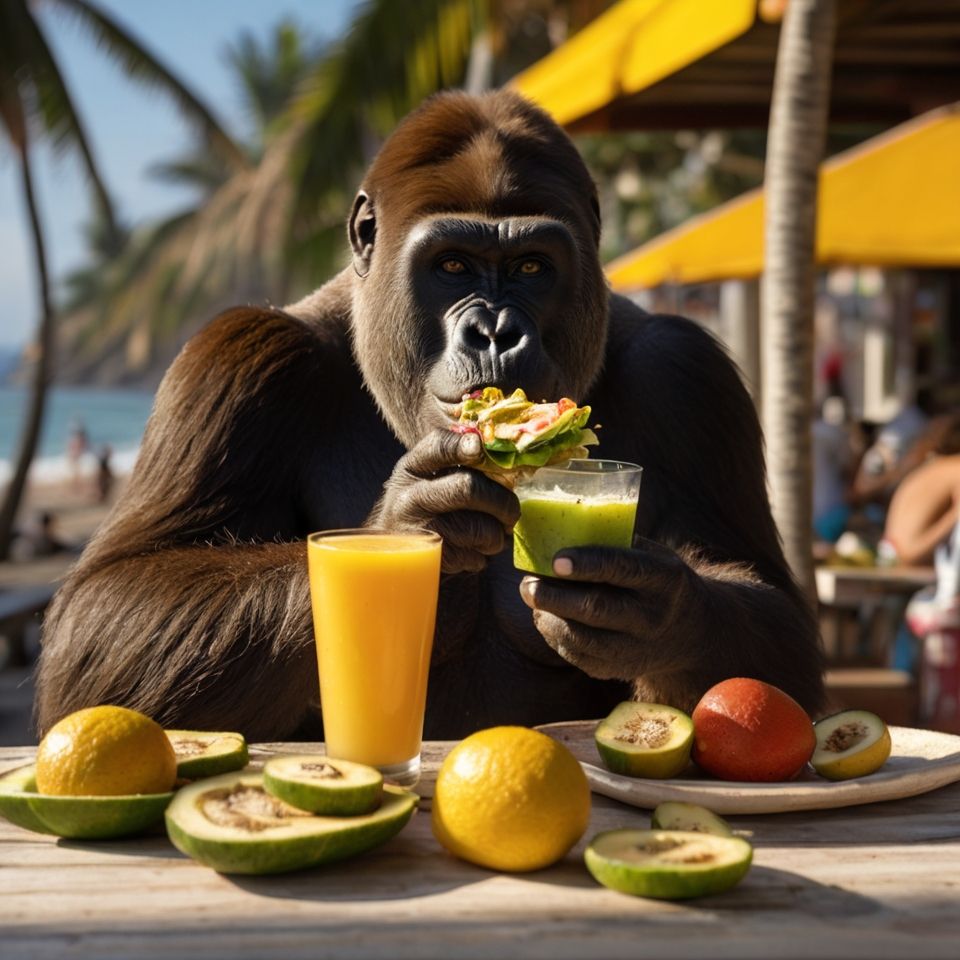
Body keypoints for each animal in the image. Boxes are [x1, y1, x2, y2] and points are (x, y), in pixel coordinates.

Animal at [36, 90, 824, 740]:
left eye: (532, 267)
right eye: (452, 265)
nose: (495, 332)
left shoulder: (689, 374)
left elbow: (777, 624)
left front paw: (660, 611)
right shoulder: (238, 362)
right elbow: (103, 609)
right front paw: (407, 521)